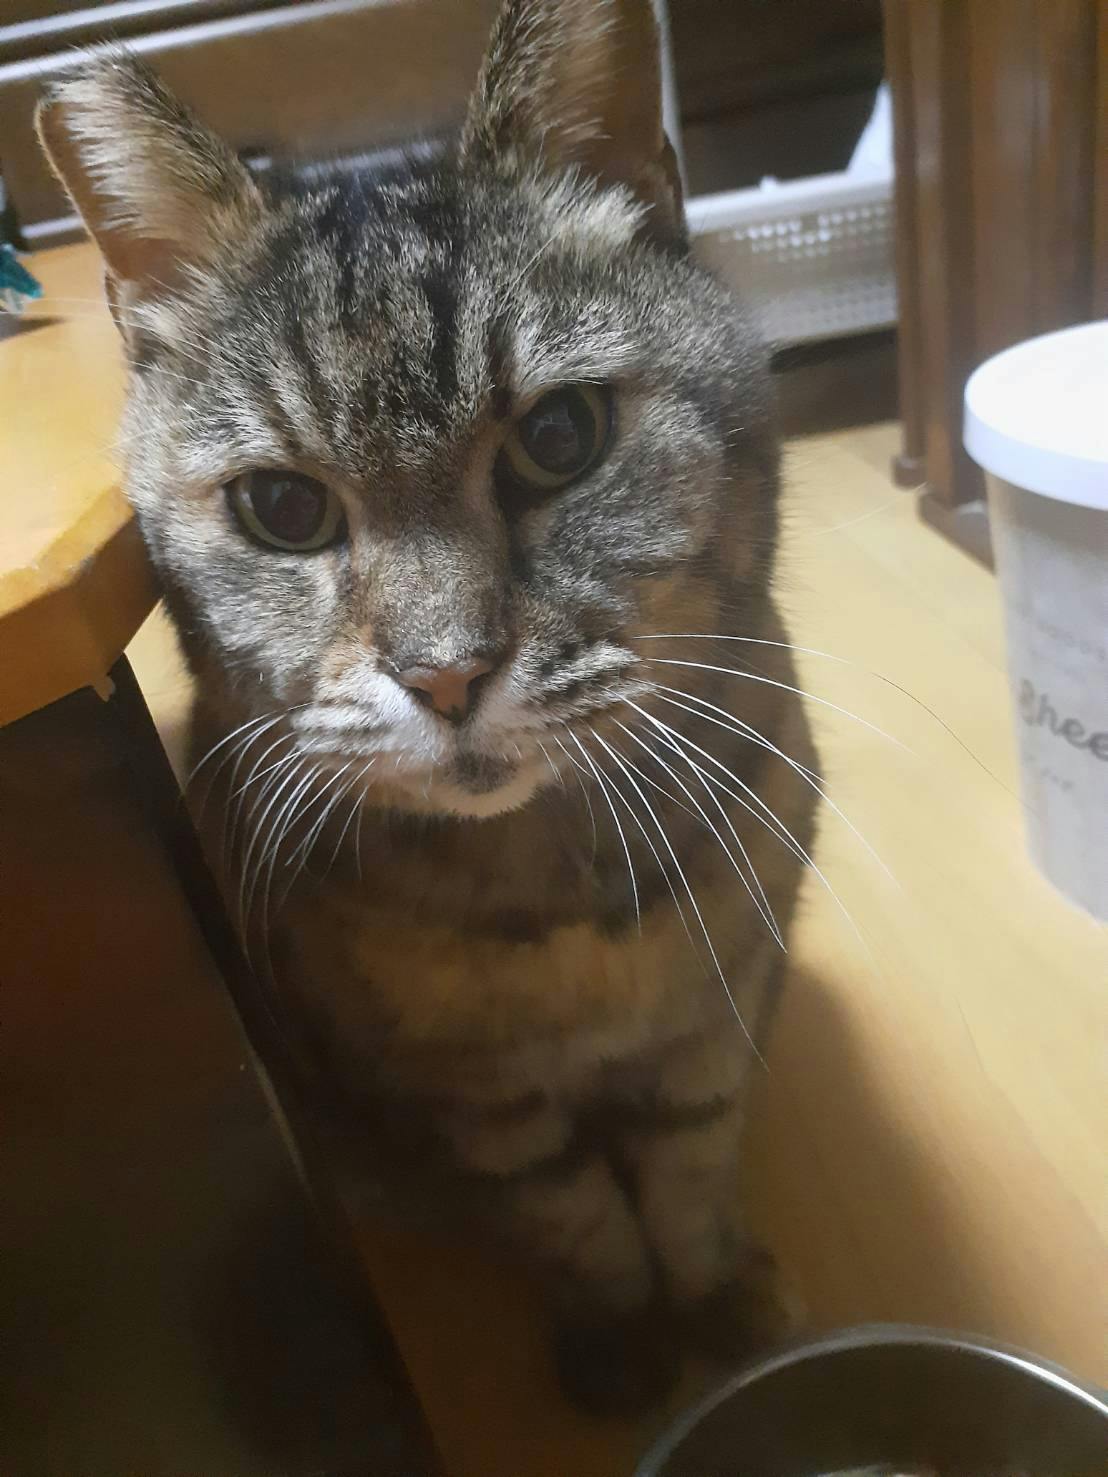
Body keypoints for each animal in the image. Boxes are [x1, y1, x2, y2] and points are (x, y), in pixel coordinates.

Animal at [39, 0, 817, 1414]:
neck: (548, 897)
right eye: (282, 508)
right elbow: (572, 1212)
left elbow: (688, 1172)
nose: (447, 672)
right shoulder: (476, 1108)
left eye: (560, 438)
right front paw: (623, 1335)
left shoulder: (716, 1023)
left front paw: (718, 1296)